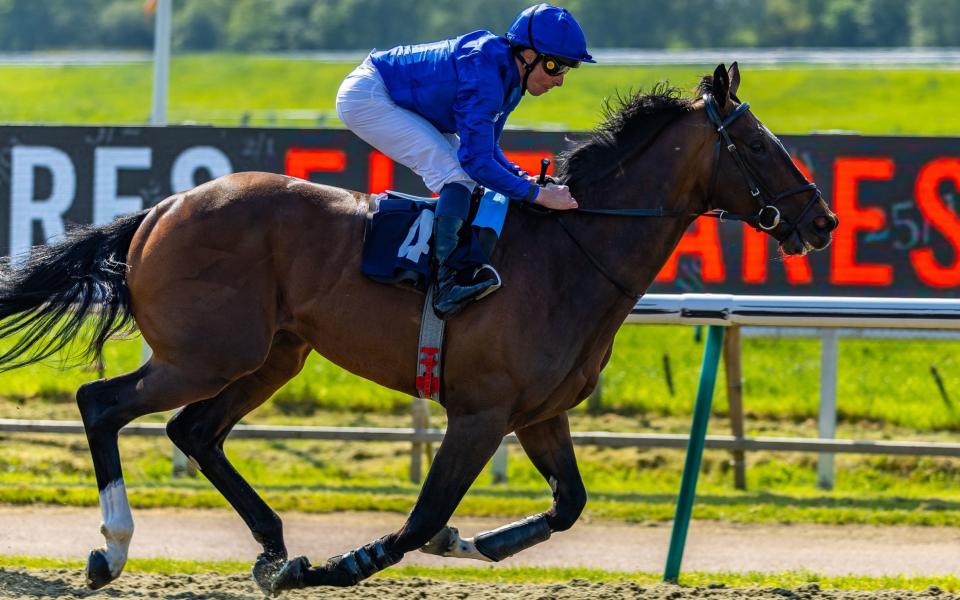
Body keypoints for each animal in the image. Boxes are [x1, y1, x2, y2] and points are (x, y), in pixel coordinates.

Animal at [0, 64, 832, 592]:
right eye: (759, 144)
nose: (822, 220)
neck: (572, 250)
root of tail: (161, 209)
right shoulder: (481, 412)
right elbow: (419, 516)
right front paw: (345, 563)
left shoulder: (539, 414)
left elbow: (567, 504)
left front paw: (473, 540)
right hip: (207, 353)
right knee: (103, 403)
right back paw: (114, 551)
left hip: (274, 356)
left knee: (194, 432)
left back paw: (272, 546)